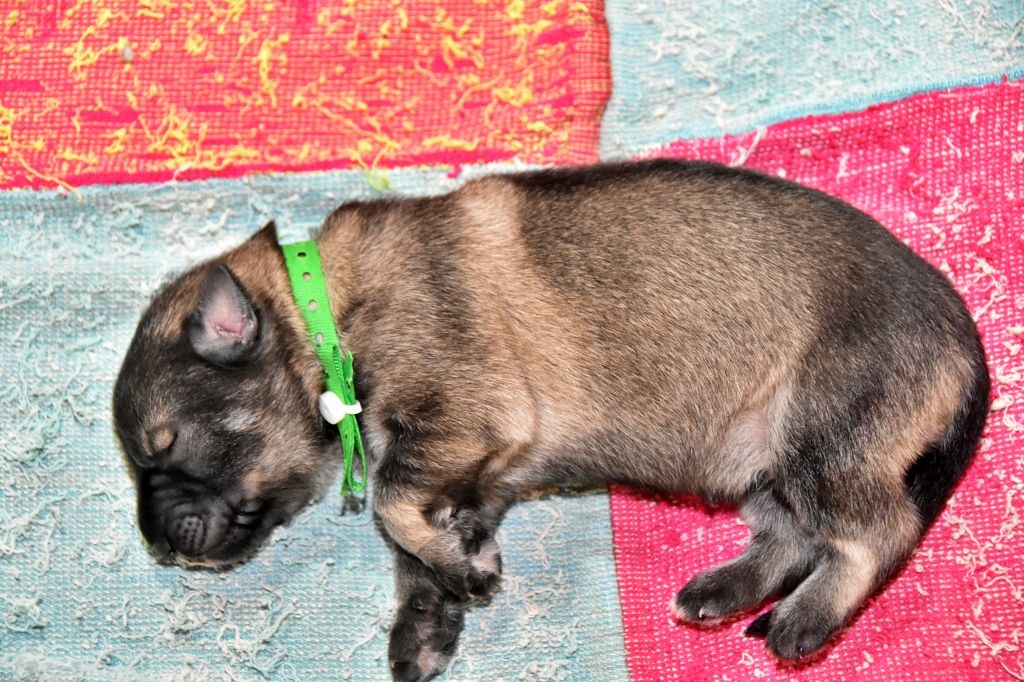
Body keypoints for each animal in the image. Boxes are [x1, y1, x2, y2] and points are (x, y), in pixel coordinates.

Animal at [113, 160, 989, 680]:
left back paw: (806, 620)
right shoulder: (472, 472)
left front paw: (454, 571)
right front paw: (439, 607)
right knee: (789, 537)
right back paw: (723, 589)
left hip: (823, 437)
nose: (156, 546)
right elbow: (416, 549)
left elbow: (393, 504)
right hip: (769, 459)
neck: (322, 311)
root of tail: (960, 331)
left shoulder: (462, 420)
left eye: (166, 445)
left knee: (876, 530)